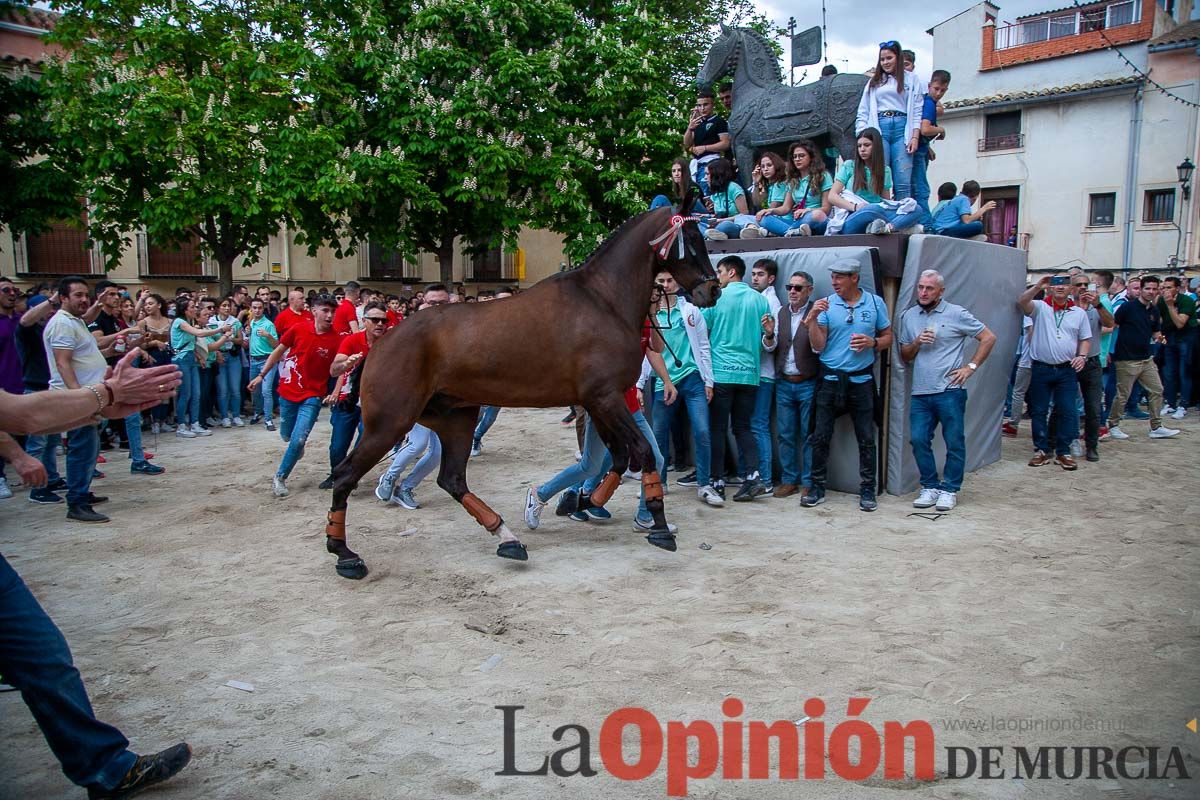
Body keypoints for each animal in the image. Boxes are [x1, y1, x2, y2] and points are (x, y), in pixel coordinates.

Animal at [324, 203, 715, 578]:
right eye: (693, 240)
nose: (712, 290)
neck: (602, 300)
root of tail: (380, 344)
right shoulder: (605, 398)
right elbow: (643, 452)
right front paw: (659, 526)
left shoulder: (599, 402)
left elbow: (618, 458)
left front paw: (581, 502)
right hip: (389, 424)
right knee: (345, 477)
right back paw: (344, 554)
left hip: (455, 419)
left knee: (452, 479)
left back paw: (507, 537)